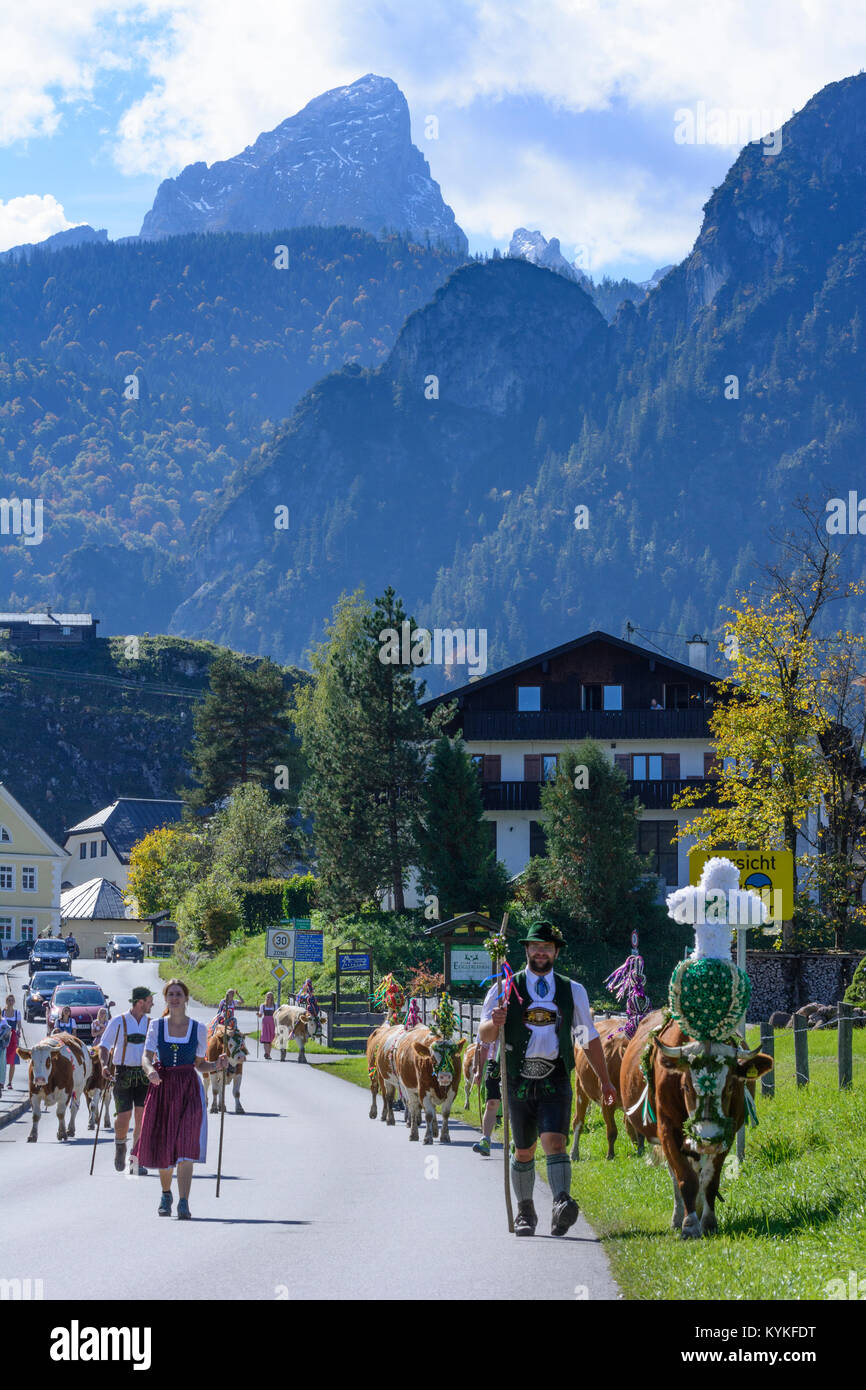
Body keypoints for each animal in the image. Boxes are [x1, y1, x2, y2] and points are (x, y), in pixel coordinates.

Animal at [575, 1011, 644, 1162]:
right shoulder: (606, 1102)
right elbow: (612, 1131)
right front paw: (610, 1155)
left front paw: (641, 1150)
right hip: (580, 1088)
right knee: (578, 1121)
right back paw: (574, 1153)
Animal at [622, 1011, 772, 1239]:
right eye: (685, 1086)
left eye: (730, 1087)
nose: (707, 1139)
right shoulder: (668, 1131)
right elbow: (685, 1179)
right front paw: (690, 1224)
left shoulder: (726, 1135)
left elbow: (710, 1181)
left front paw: (708, 1222)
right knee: (677, 1175)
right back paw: (679, 1217)